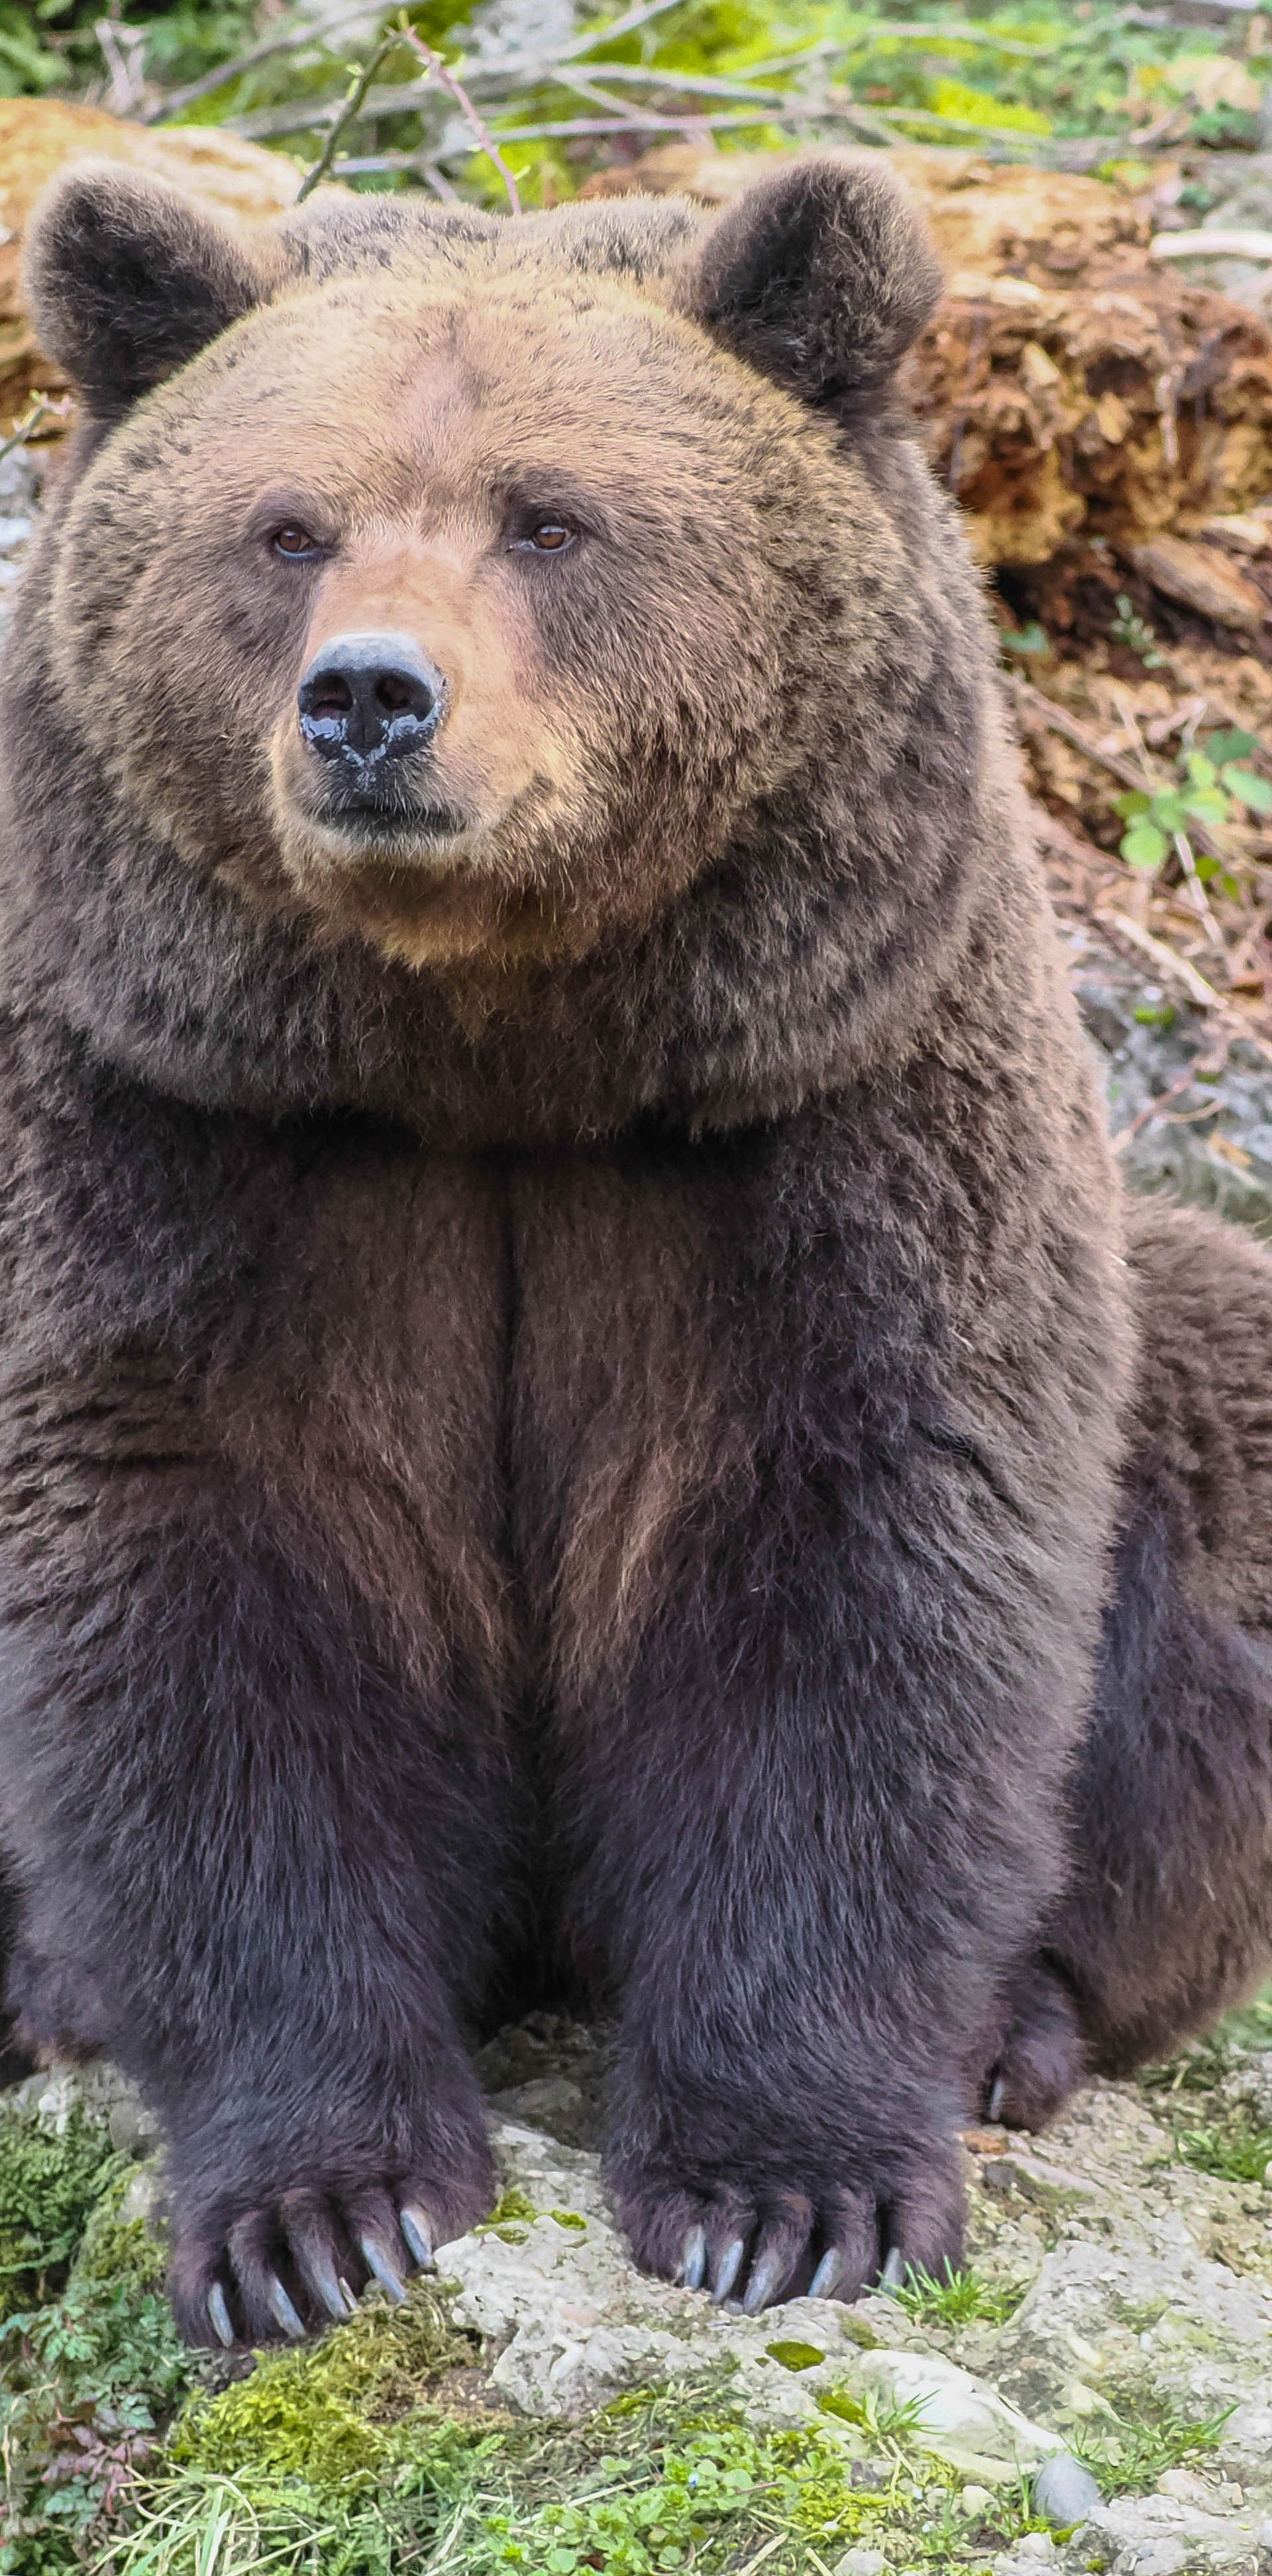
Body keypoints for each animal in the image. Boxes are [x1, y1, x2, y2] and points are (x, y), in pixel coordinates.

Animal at [0, 147, 1264, 2349]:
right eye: (287, 525)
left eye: (550, 516)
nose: (368, 700)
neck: (498, 1034)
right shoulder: (181, 1132)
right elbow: (195, 1593)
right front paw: (320, 2211)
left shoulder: (824, 1115)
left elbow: (854, 1585)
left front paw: (785, 2190)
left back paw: (1016, 2023)